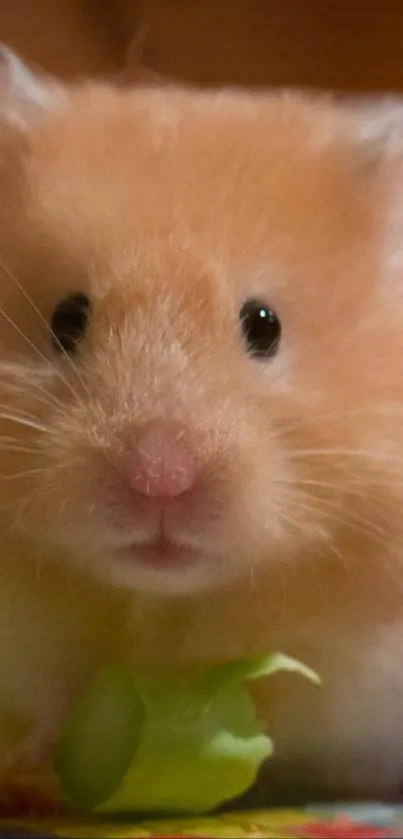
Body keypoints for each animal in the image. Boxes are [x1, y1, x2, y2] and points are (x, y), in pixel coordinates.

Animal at [1, 47, 403, 808]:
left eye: (263, 325)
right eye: (66, 318)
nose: (160, 482)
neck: (169, 604)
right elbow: (53, 691)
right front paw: (46, 763)